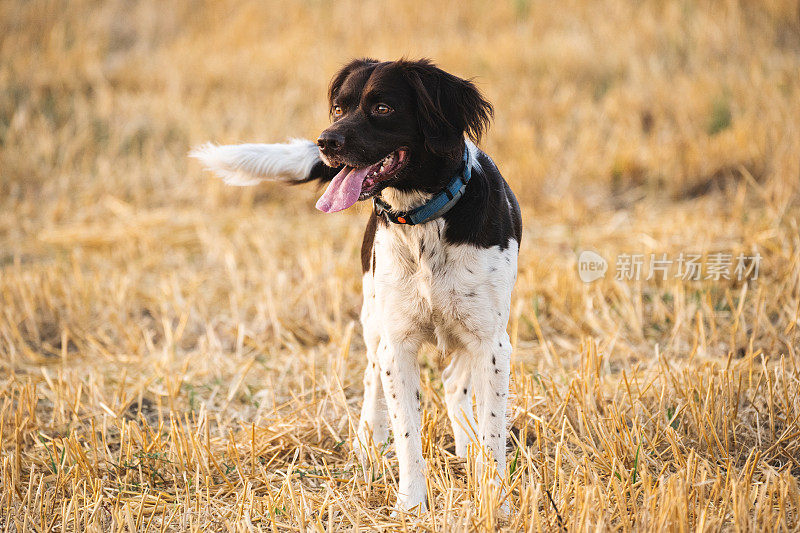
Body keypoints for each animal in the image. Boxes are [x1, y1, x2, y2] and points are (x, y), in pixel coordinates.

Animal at [191, 57, 520, 512]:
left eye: (382, 107)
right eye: (338, 107)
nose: (325, 141)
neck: (425, 220)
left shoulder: (491, 343)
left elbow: (493, 434)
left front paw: (494, 503)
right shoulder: (397, 342)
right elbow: (407, 434)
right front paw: (411, 505)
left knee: (455, 387)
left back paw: (465, 447)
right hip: (373, 317)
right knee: (372, 378)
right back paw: (369, 442)